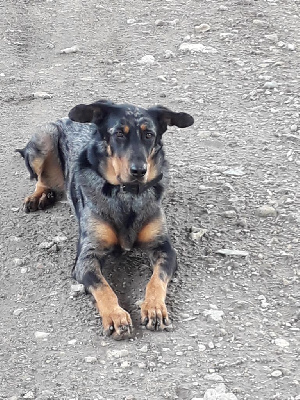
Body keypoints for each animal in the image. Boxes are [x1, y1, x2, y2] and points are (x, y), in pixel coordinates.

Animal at [17, 101, 195, 340]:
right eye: (118, 133)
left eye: (149, 134)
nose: (139, 171)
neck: (127, 196)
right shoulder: (86, 257)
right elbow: (103, 287)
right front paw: (115, 315)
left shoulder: (164, 248)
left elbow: (156, 280)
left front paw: (154, 307)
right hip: (44, 137)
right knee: (40, 178)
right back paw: (39, 196)